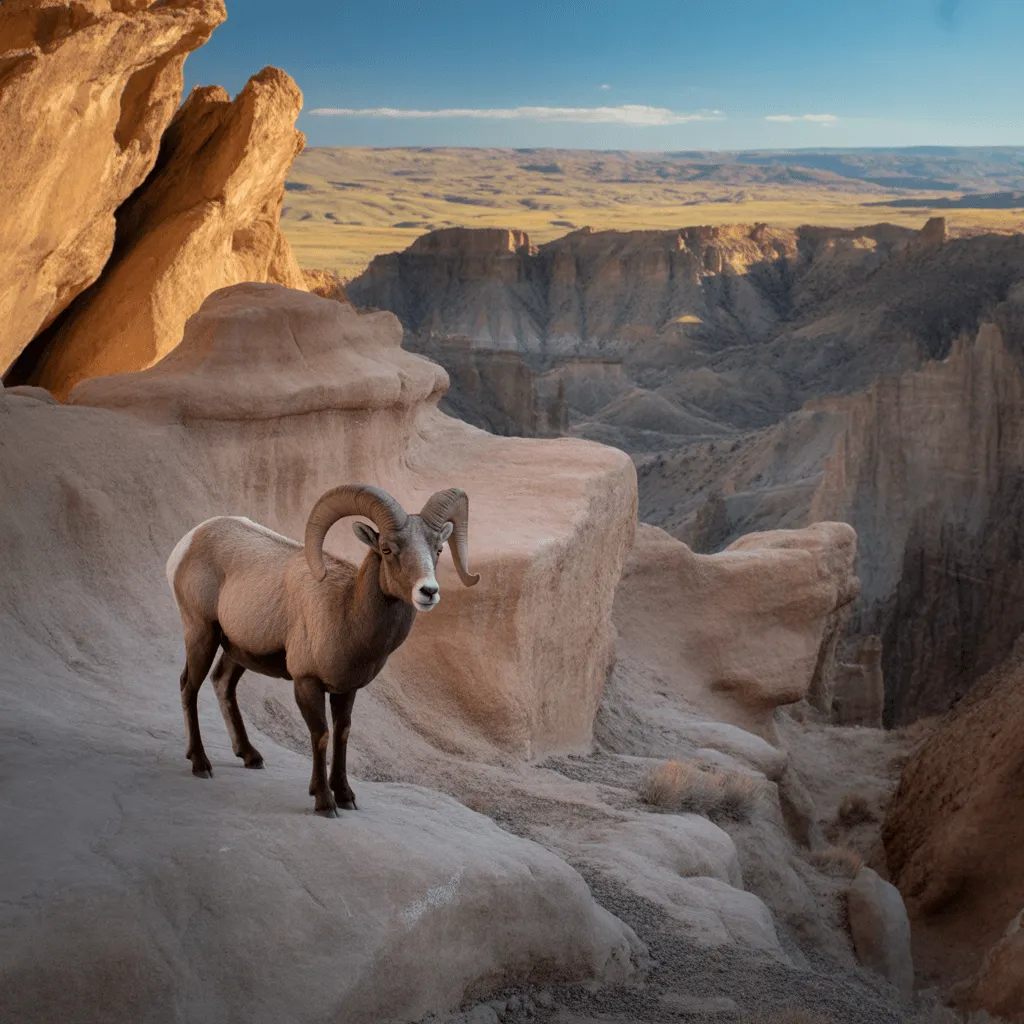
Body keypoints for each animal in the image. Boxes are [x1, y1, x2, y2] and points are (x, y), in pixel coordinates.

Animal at [165, 484, 480, 816]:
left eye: (438, 549)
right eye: (387, 549)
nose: (428, 592)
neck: (345, 612)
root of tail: (190, 540)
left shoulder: (346, 689)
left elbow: (342, 733)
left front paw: (345, 796)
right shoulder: (307, 682)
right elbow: (321, 735)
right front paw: (324, 802)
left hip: (237, 649)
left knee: (222, 683)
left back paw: (251, 757)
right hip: (201, 634)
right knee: (189, 687)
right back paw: (201, 764)